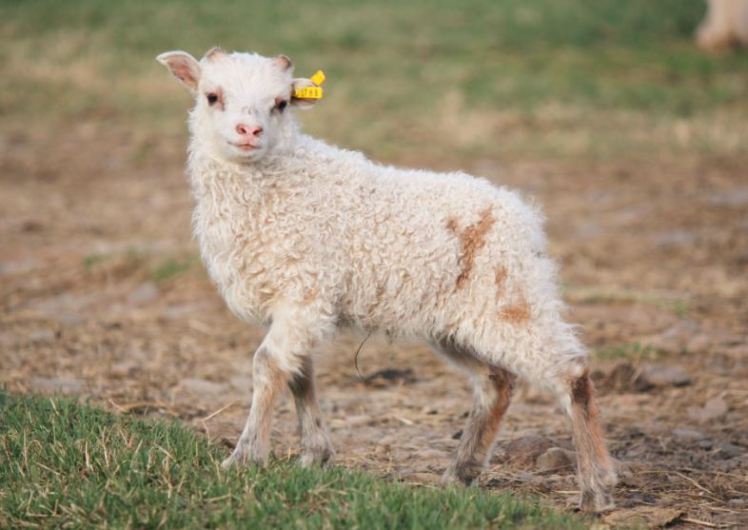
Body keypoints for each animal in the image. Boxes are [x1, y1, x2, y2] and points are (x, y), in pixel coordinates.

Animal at [156, 48, 617, 512]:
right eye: (212, 96)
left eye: (281, 103)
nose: (249, 130)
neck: (281, 183)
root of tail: (525, 216)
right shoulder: (295, 302)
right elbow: (299, 372)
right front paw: (313, 455)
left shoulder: (305, 290)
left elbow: (267, 366)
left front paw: (245, 457)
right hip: (459, 323)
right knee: (496, 383)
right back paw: (459, 475)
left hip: (512, 300)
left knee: (571, 373)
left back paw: (595, 488)